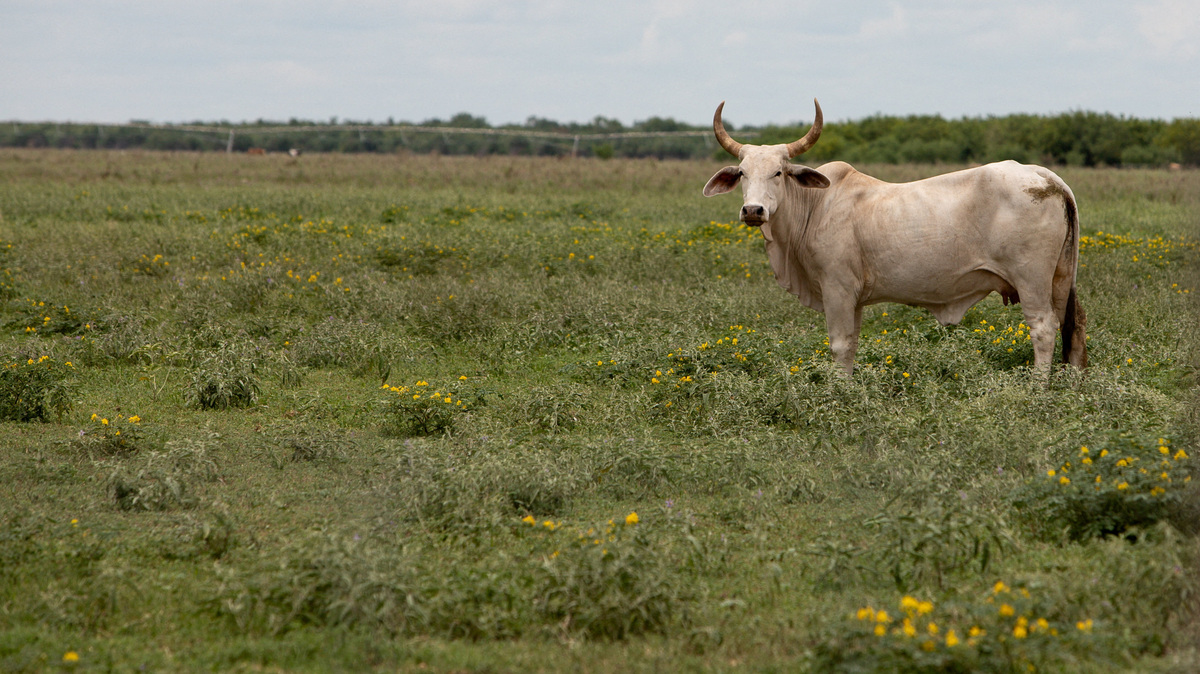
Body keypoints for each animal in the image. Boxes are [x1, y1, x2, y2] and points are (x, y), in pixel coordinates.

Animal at [703, 99, 1087, 376]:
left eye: (778, 172)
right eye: (742, 173)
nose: (753, 210)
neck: (815, 205)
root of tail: (1046, 176)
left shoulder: (837, 288)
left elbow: (839, 345)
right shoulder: (854, 299)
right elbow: (851, 345)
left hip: (1031, 280)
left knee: (1043, 329)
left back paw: (1037, 387)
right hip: (1061, 279)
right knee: (1074, 326)